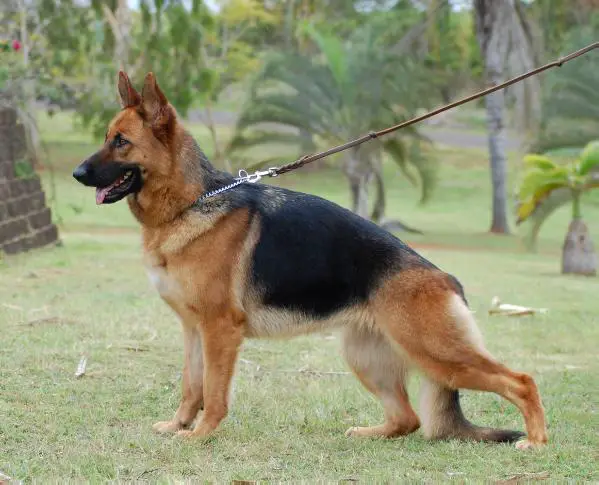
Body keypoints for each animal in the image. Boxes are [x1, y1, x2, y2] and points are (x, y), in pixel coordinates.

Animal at [72, 71, 547, 450]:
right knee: (408, 418)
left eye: (121, 142)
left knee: (521, 381)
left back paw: (537, 442)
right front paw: (178, 426)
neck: (190, 203)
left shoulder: (220, 331)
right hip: (366, 358)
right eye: (107, 137)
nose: (77, 174)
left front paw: (202, 435)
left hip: (438, 354)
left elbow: (214, 392)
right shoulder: (194, 330)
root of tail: (445, 278)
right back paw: (370, 434)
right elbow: (191, 386)